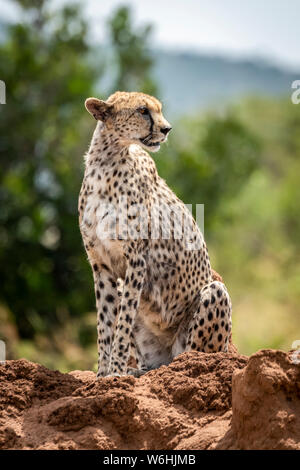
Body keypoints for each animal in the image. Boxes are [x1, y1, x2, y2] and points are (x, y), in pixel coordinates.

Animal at [78, 91, 232, 378]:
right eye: (142, 111)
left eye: (158, 110)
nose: (167, 129)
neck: (107, 160)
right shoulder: (101, 264)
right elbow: (105, 322)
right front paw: (102, 374)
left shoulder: (136, 260)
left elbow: (123, 321)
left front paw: (115, 371)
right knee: (151, 363)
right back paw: (139, 371)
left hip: (212, 298)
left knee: (191, 356)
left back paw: (182, 366)